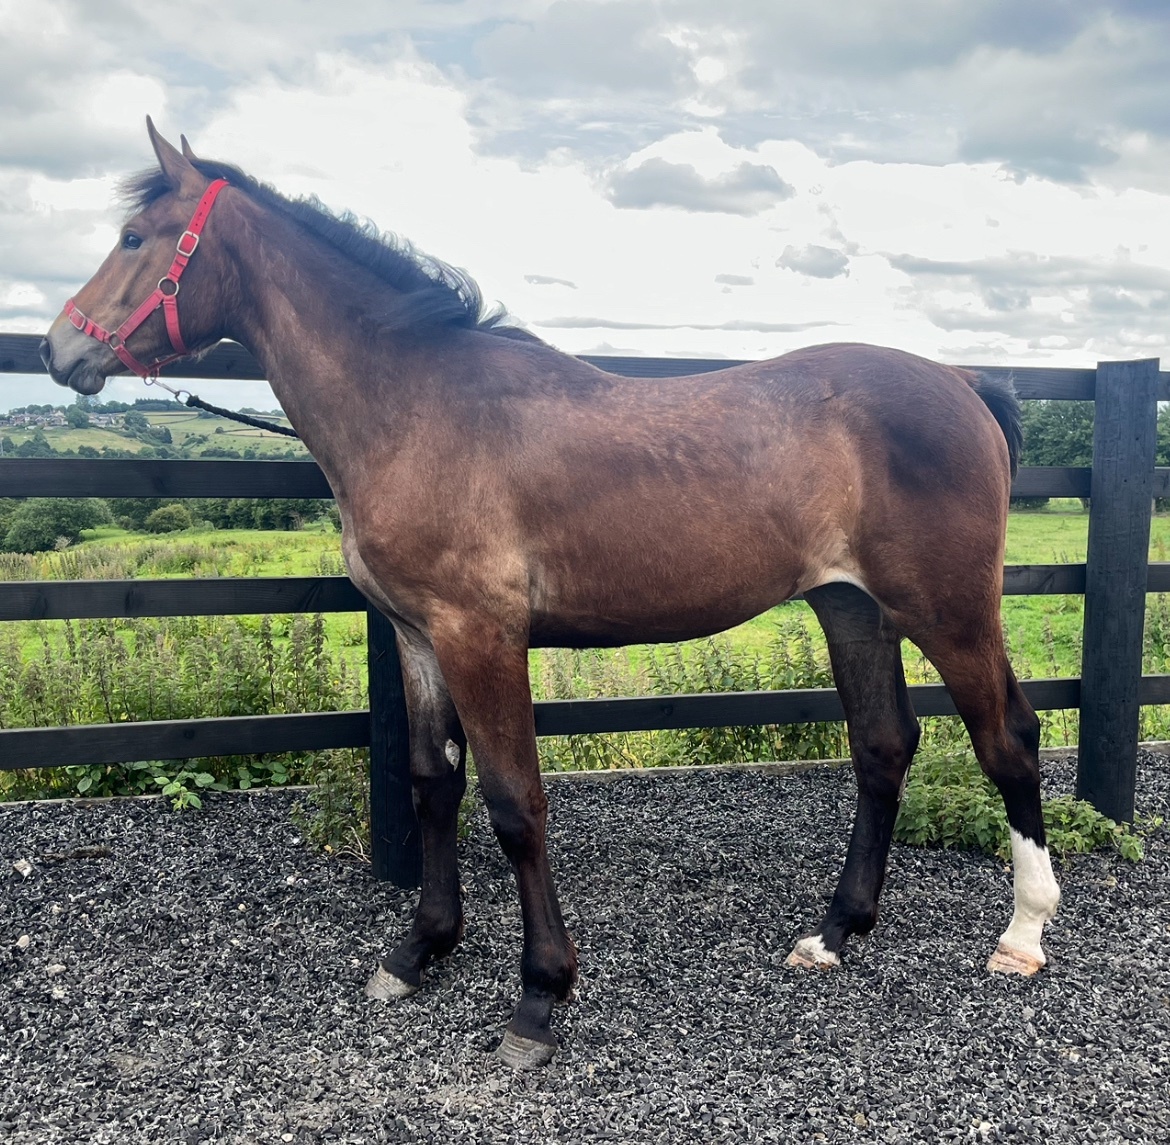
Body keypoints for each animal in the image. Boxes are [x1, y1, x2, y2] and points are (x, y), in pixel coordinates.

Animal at [41, 120, 1060, 1068]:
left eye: (134, 237)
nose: (58, 349)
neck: (418, 407)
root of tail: (961, 381)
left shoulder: (481, 636)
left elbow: (514, 803)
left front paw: (539, 997)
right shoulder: (417, 635)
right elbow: (433, 782)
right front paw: (419, 950)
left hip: (949, 611)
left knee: (1007, 737)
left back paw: (1022, 934)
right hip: (852, 608)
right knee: (883, 746)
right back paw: (837, 930)